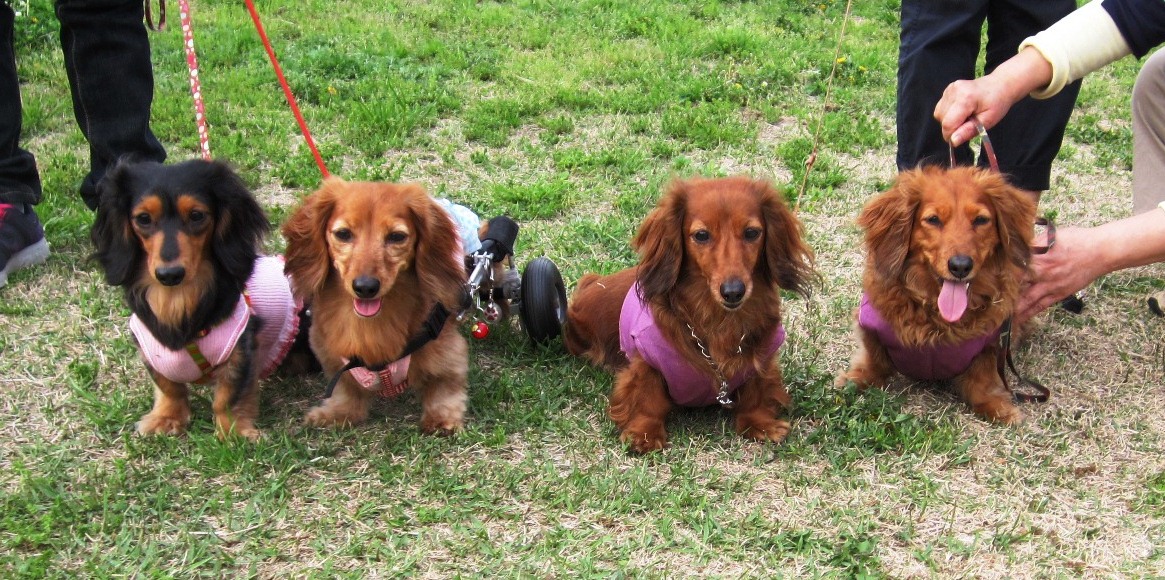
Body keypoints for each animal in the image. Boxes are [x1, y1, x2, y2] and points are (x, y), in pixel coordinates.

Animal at [91, 159, 308, 440]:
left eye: (196, 215)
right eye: (143, 219)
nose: (169, 274)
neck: (176, 299)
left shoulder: (240, 347)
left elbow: (228, 396)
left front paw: (232, 432)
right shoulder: (148, 347)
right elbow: (169, 386)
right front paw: (167, 417)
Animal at [282, 178, 469, 433]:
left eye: (397, 236)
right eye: (343, 234)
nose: (365, 287)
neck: (370, 324)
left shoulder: (447, 350)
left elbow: (443, 387)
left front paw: (441, 419)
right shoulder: (331, 353)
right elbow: (346, 389)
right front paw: (339, 413)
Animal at [564, 176, 816, 453]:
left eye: (752, 233)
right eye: (701, 235)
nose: (733, 292)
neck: (718, 320)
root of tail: (592, 283)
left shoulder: (763, 355)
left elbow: (756, 390)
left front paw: (761, 423)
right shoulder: (645, 360)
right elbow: (647, 397)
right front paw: (644, 433)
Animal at [835, 165, 1036, 424]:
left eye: (981, 220)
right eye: (933, 220)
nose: (960, 266)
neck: (937, 317)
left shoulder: (993, 341)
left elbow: (981, 379)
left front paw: (996, 406)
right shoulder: (871, 326)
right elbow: (875, 360)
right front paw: (856, 380)